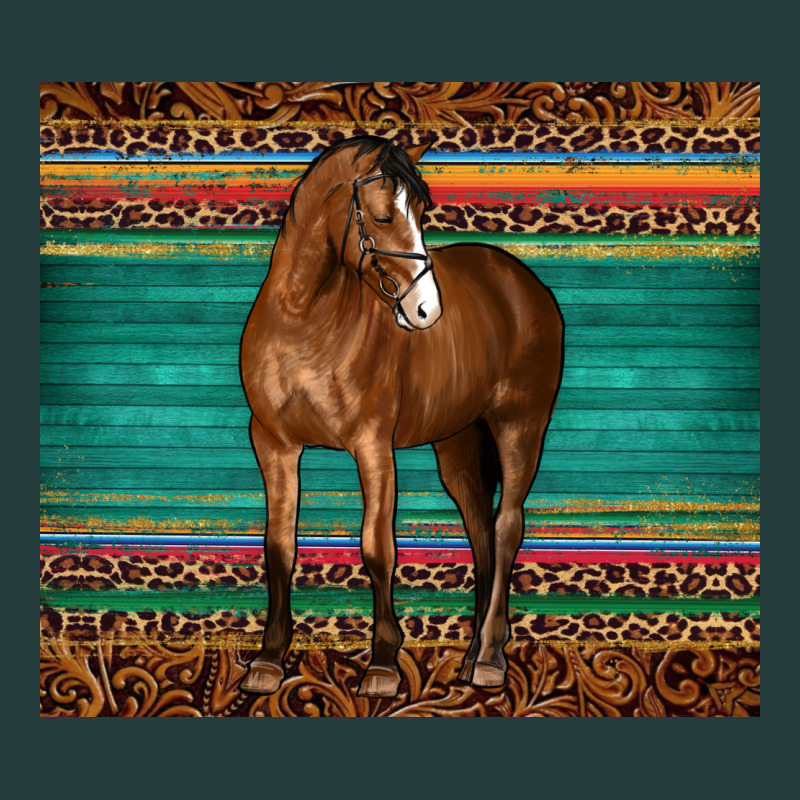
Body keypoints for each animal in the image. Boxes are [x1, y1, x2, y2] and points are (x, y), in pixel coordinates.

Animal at [239, 136, 564, 698]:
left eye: (422, 211)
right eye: (384, 216)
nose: (425, 311)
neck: (303, 320)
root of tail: (520, 281)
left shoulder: (373, 446)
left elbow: (378, 548)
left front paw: (383, 665)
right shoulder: (274, 444)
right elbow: (279, 545)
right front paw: (268, 660)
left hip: (520, 425)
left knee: (506, 526)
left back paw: (490, 659)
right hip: (458, 442)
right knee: (480, 530)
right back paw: (471, 654)